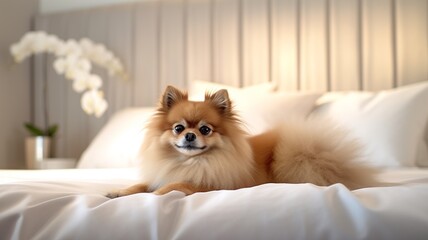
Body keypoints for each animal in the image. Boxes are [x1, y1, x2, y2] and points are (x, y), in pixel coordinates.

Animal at [108, 85, 378, 198]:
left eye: (205, 129)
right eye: (178, 128)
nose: (190, 135)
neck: (189, 163)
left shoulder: (208, 185)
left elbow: (175, 185)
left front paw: (155, 194)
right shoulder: (159, 174)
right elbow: (141, 184)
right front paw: (119, 191)